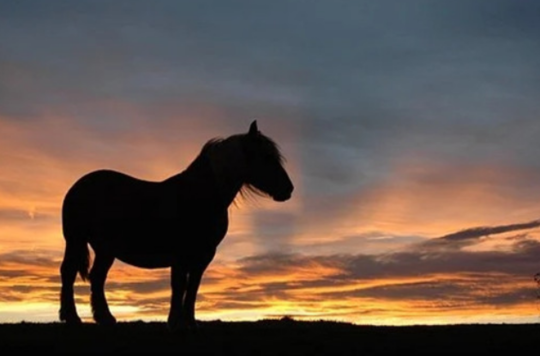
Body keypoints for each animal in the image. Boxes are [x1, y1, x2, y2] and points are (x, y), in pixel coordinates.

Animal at [59, 121, 294, 330]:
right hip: (76, 240)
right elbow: (179, 285)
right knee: (69, 273)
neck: (199, 195)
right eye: (266, 157)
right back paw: (72, 318)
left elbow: (192, 287)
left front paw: (190, 322)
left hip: (105, 249)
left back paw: (105, 318)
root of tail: (78, 186)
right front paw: (175, 322)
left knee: (97, 278)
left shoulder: (203, 255)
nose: (288, 189)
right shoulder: (181, 254)